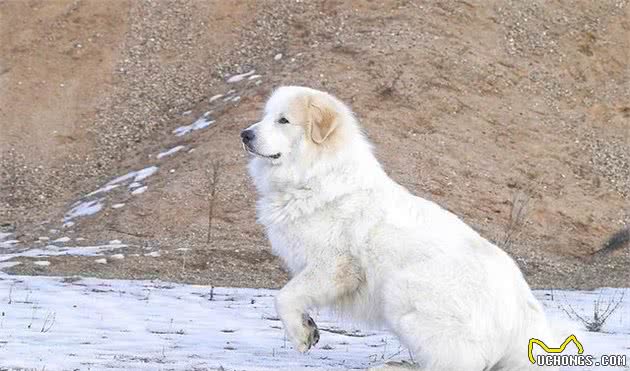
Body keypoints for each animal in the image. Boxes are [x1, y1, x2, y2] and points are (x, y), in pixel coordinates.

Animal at [242, 87, 556, 371]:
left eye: (283, 120)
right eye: (265, 116)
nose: (245, 134)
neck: (316, 174)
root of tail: (524, 315)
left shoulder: (334, 266)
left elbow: (284, 296)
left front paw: (301, 334)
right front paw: (308, 326)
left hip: (400, 291)